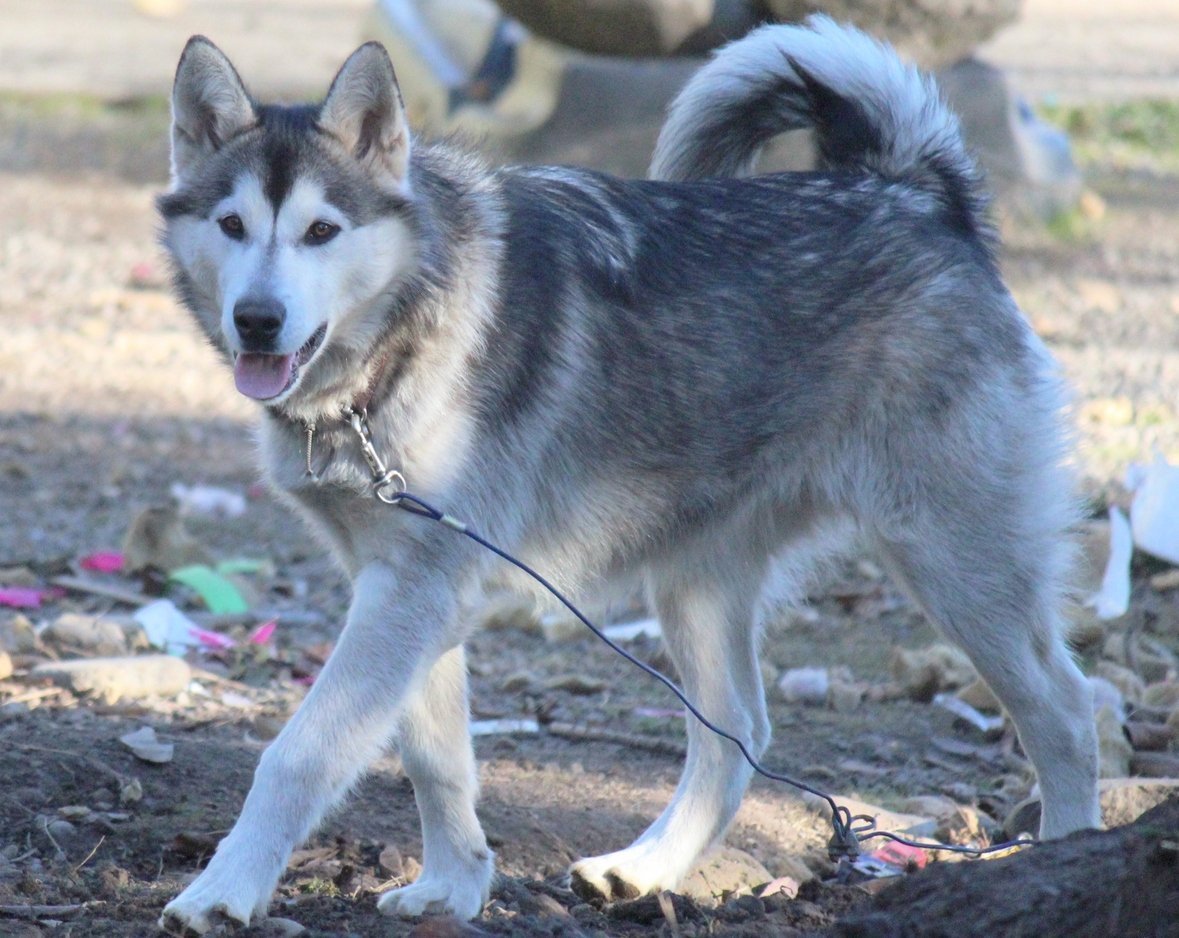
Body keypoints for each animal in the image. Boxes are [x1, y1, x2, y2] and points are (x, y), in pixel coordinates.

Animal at [154, 18, 1094, 933]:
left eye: (321, 232)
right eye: (232, 225)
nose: (257, 321)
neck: (396, 340)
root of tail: (913, 192)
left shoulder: (414, 593)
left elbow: (299, 754)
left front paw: (223, 891)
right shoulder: (406, 591)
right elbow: (435, 760)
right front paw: (453, 887)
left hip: (954, 564)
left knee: (1066, 709)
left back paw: (1061, 860)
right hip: (695, 584)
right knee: (735, 733)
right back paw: (644, 870)